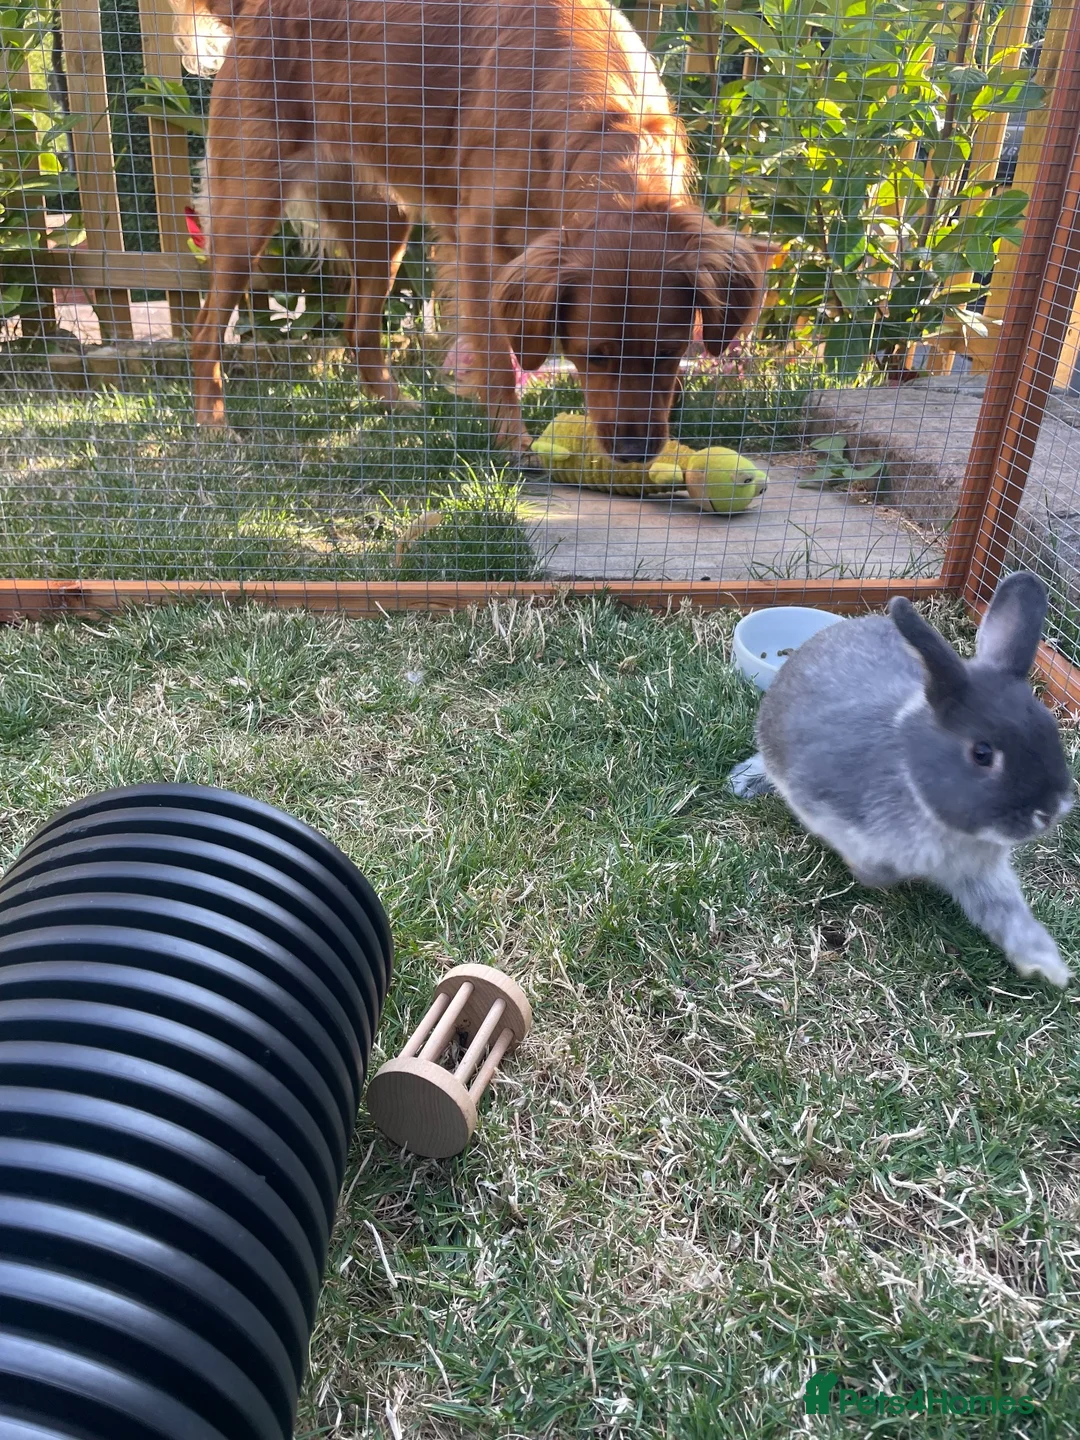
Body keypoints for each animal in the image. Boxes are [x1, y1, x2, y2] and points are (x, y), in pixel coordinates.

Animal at [728, 573, 1075, 987]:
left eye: (1050, 730)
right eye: (982, 753)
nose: (1049, 812)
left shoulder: (983, 875)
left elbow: (1006, 912)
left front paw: (1049, 967)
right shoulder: (822, 804)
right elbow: (874, 869)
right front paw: (870, 873)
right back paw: (745, 782)